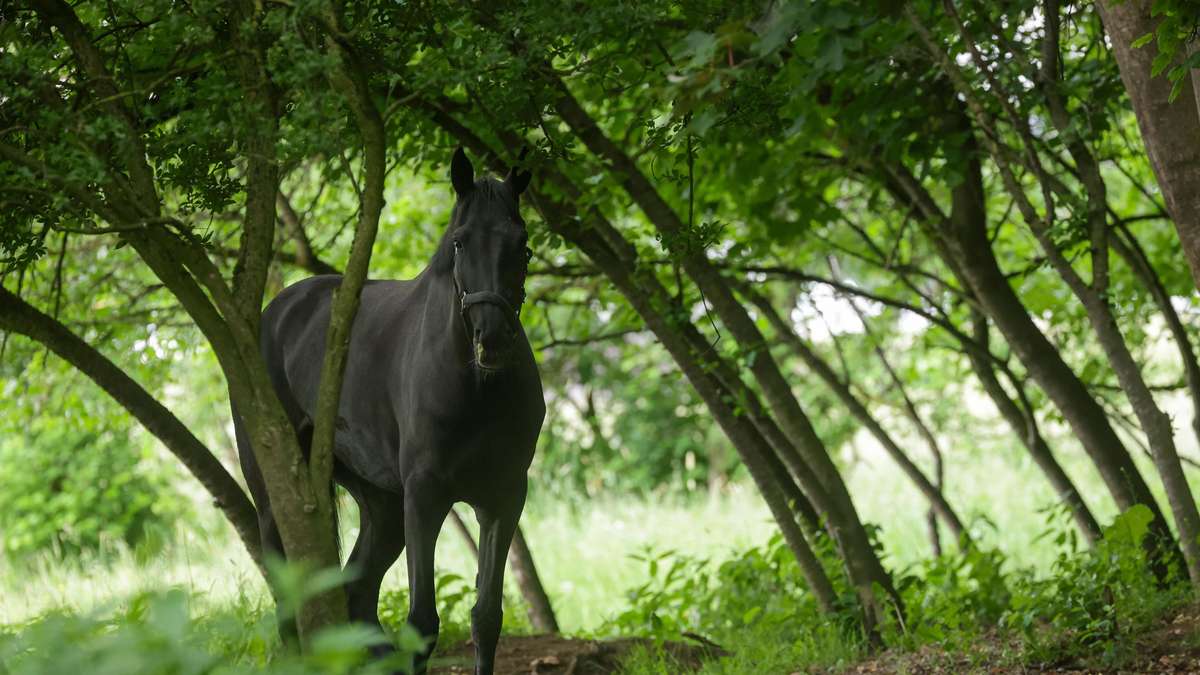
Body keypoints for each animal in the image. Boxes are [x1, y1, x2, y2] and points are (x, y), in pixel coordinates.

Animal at [233, 148, 545, 675]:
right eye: (459, 242)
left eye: (521, 244)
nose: (493, 340)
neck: (475, 387)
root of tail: (279, 309)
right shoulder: (424, 495)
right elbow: (422, 623)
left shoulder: (503, 497)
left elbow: (486, 618)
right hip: (276, 501)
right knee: (290, 607)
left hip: (381, 506)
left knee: (357, 596)